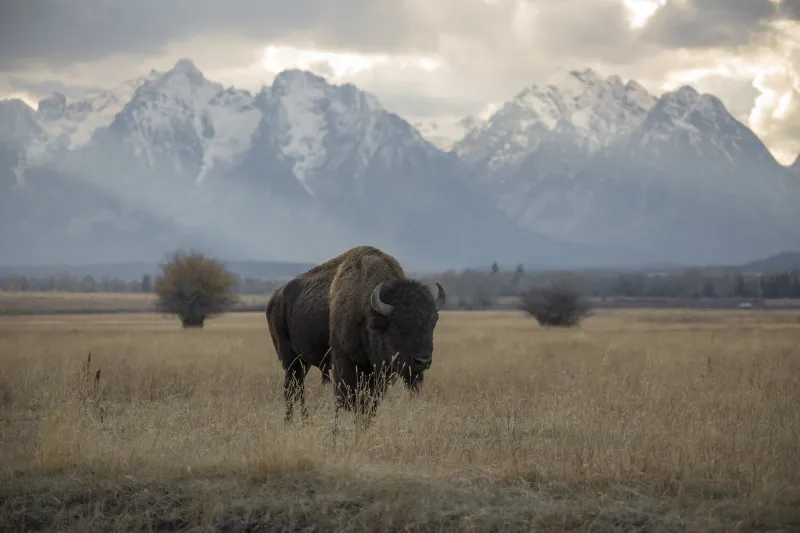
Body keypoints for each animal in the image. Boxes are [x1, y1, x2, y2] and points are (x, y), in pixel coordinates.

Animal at [265, 246, 446, 424]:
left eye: (432, 322)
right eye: (397, 325)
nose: (423, 361)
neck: (369, 312)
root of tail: (275, 296)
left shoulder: (376, 375)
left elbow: (369, 403)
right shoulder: (345, 365)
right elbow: (347, 401)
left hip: (303, 361)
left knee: (297, 388)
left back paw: (304, 421)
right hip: (289, 357)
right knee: (291, 389)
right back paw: (291, 421)